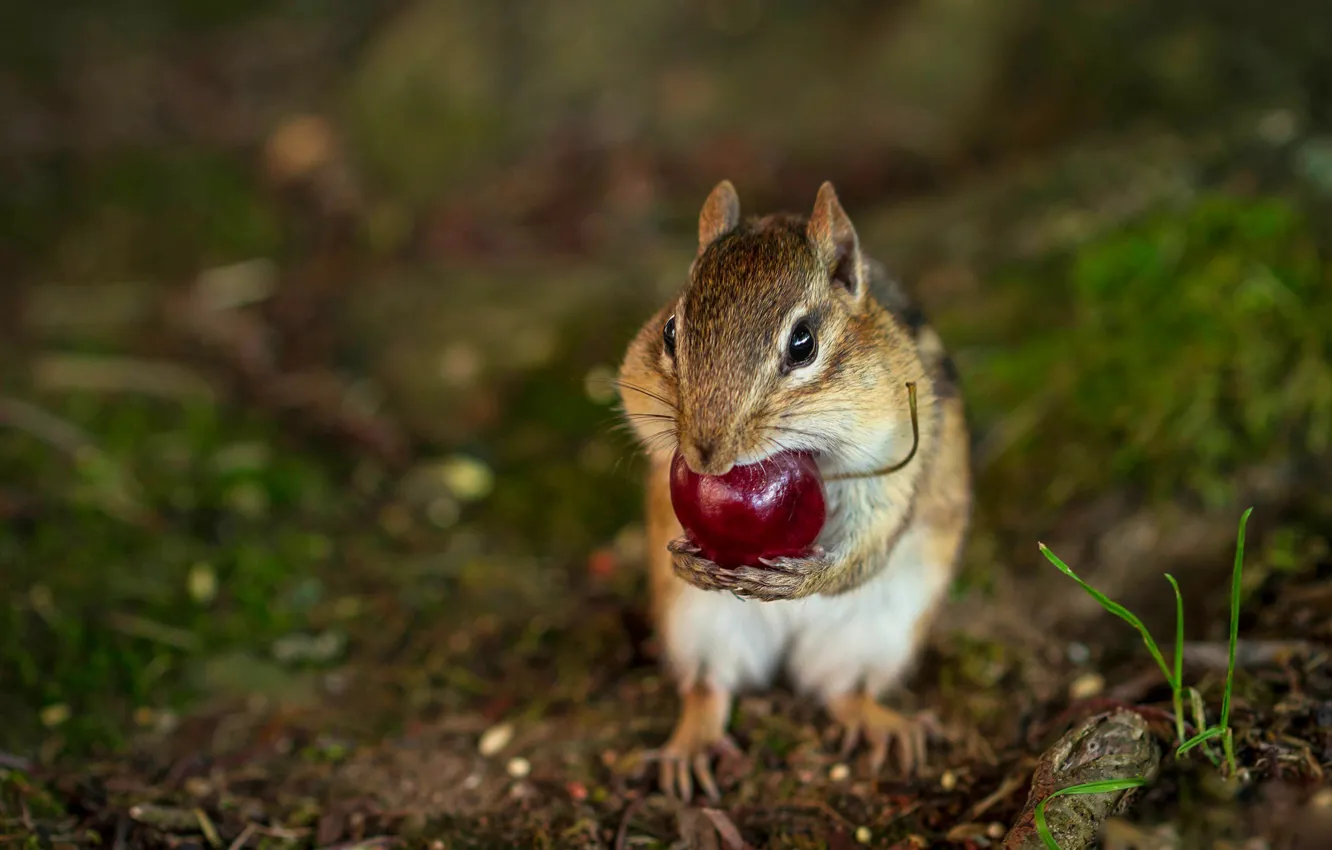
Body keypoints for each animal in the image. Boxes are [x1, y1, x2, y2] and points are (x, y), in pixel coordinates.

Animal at [615, 180, 973, 801]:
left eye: (803, 343)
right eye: (670, 332)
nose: (706, 455)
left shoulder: (901, 454)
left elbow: (872, 535)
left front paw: (808, 577)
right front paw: (686, 558)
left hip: (882, 630)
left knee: (844, 690)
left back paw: (888, 727)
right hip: (694, 623)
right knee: (709, 686)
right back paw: (689, 748)